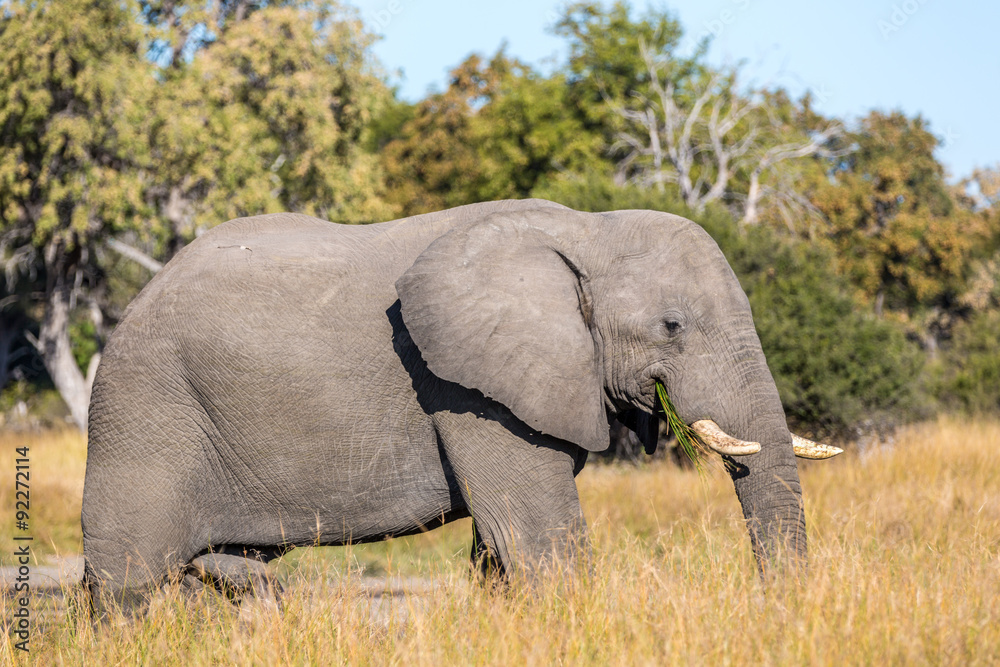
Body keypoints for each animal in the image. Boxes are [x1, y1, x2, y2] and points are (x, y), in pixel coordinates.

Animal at [82, 198, 839, 614]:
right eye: (673, 326)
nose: (779, 613)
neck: (585, 231)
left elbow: (500, 548)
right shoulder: (466, 389)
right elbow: (534, 534)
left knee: (230, 569)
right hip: (145, 409)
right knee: (127, 583)